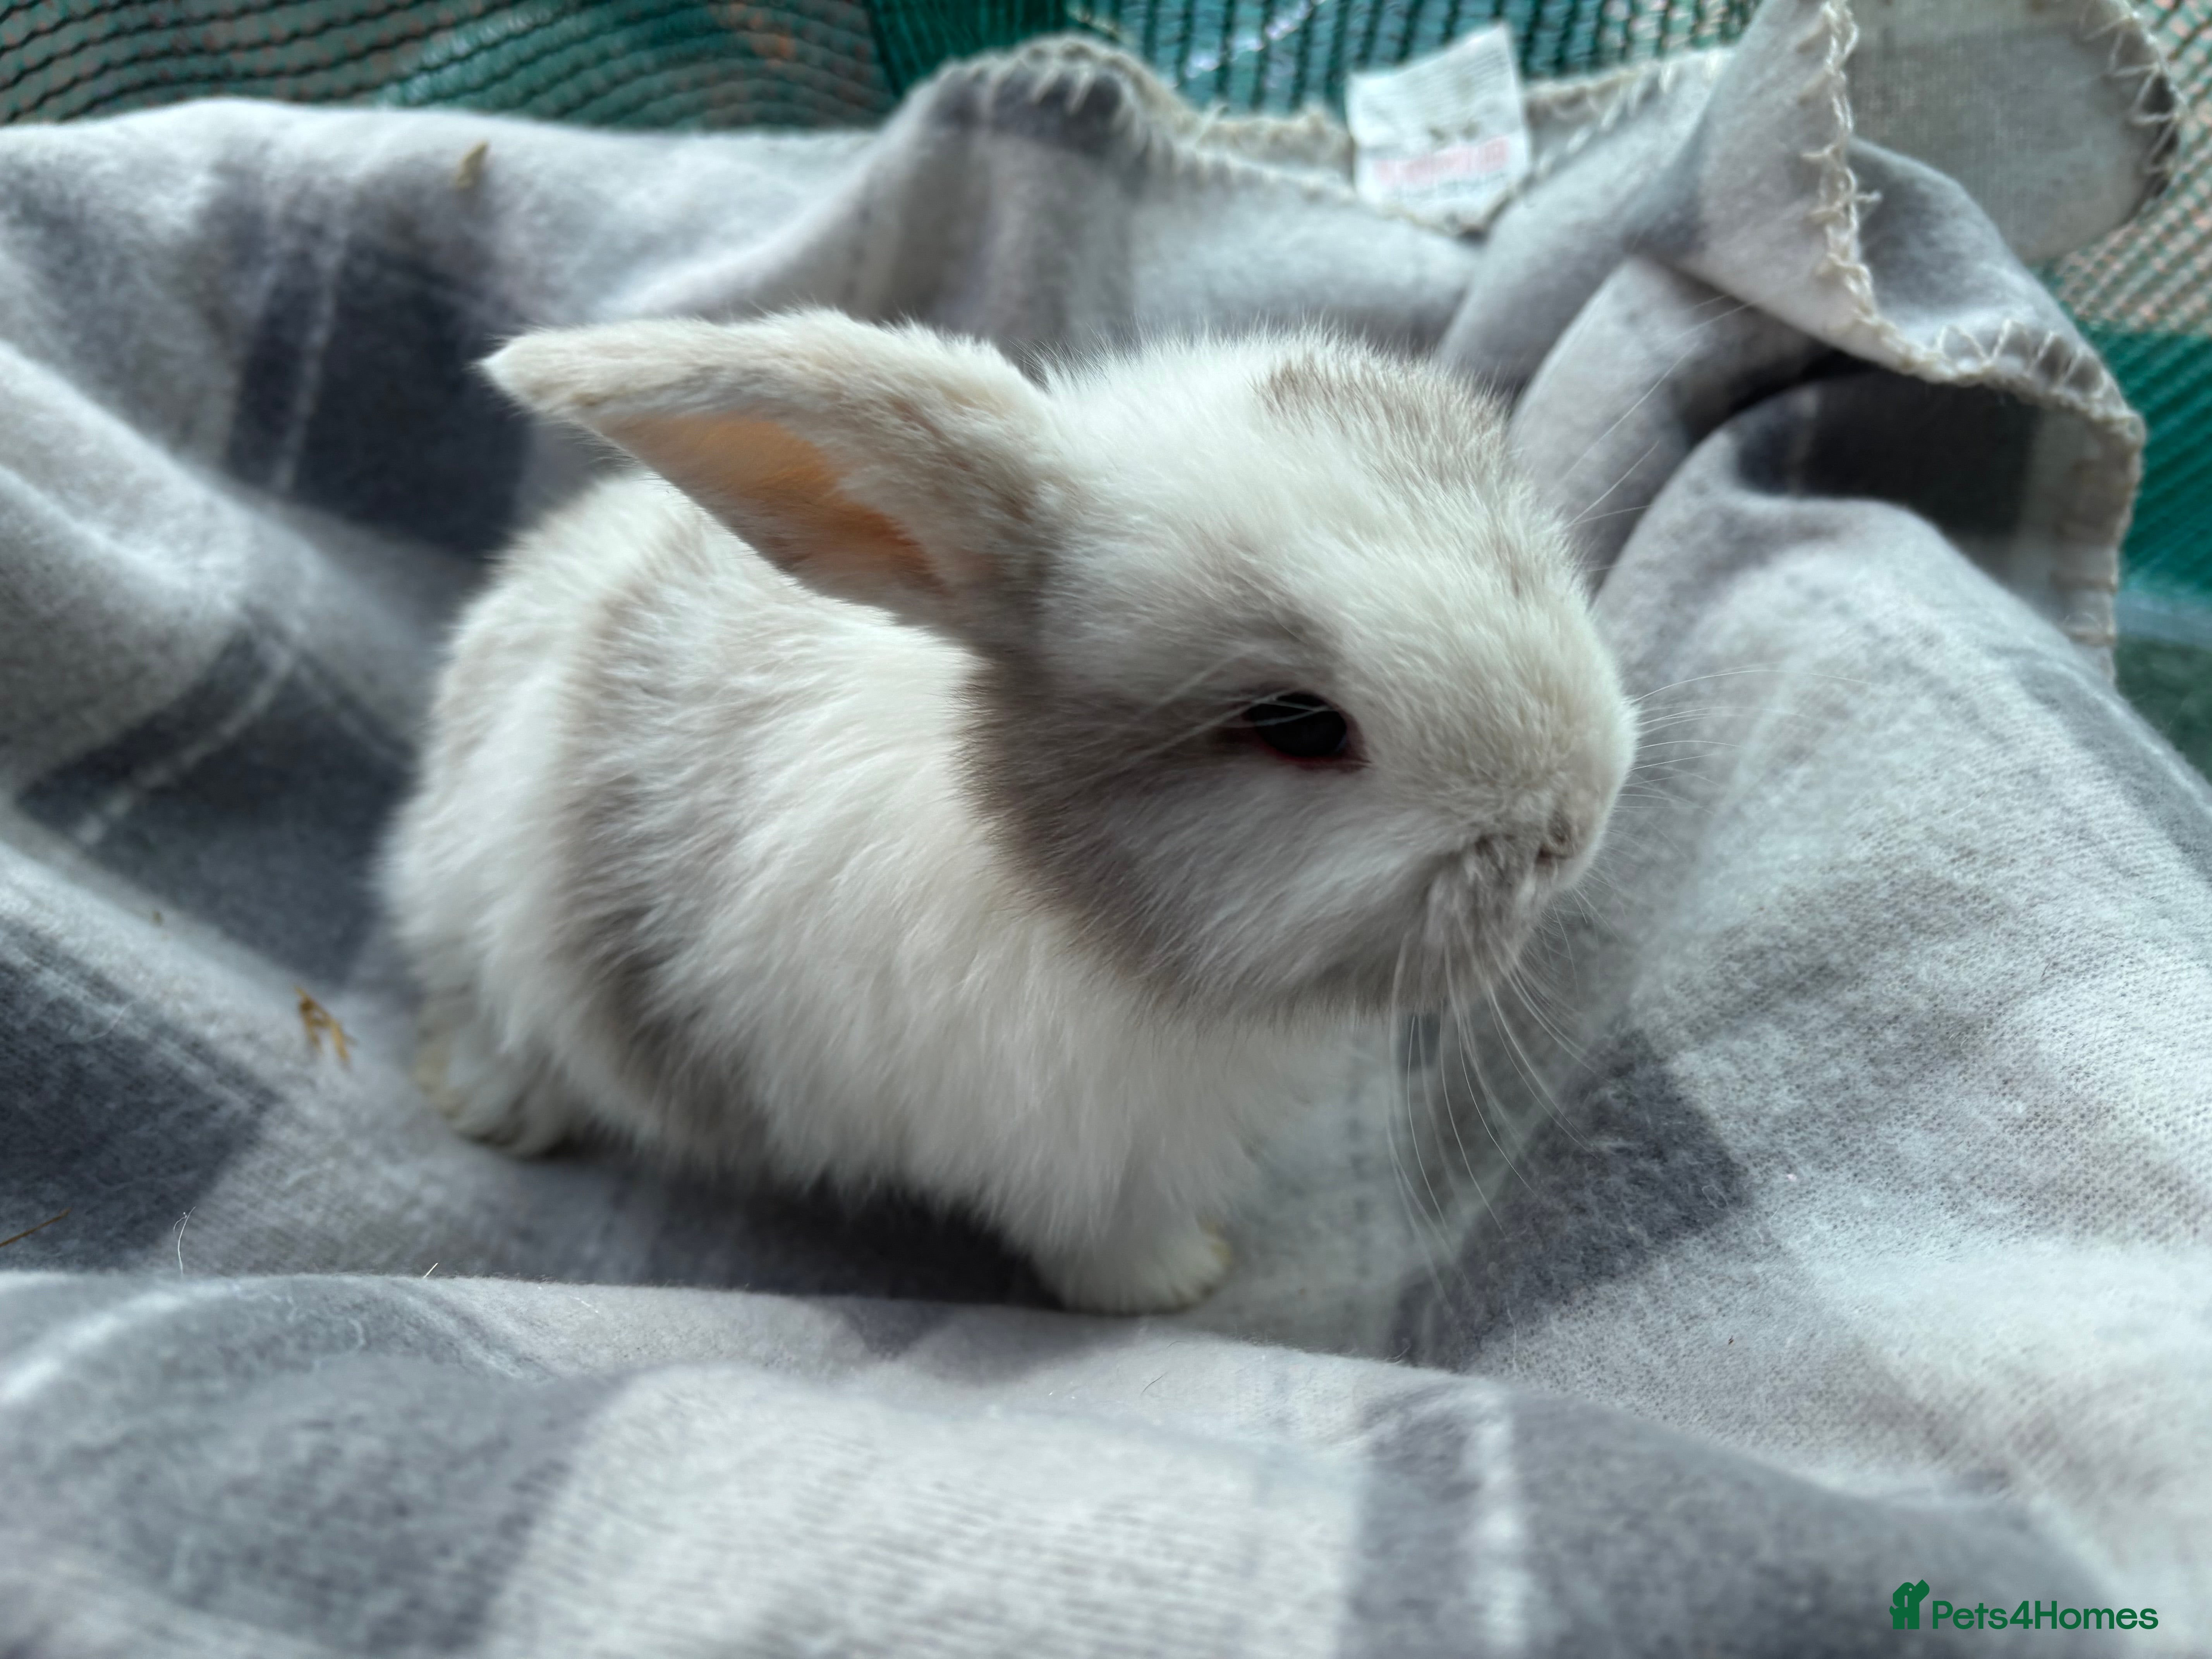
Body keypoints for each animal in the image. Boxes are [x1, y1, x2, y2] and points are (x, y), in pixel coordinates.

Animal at [381, 309, 1634, 1314]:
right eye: (1298, 725)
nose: (1572, 824)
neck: (1067, 889)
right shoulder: (1080, 1157)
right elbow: (1109, 1243)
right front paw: (1179, 1284)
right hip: (479, 920)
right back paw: (488, 1103)